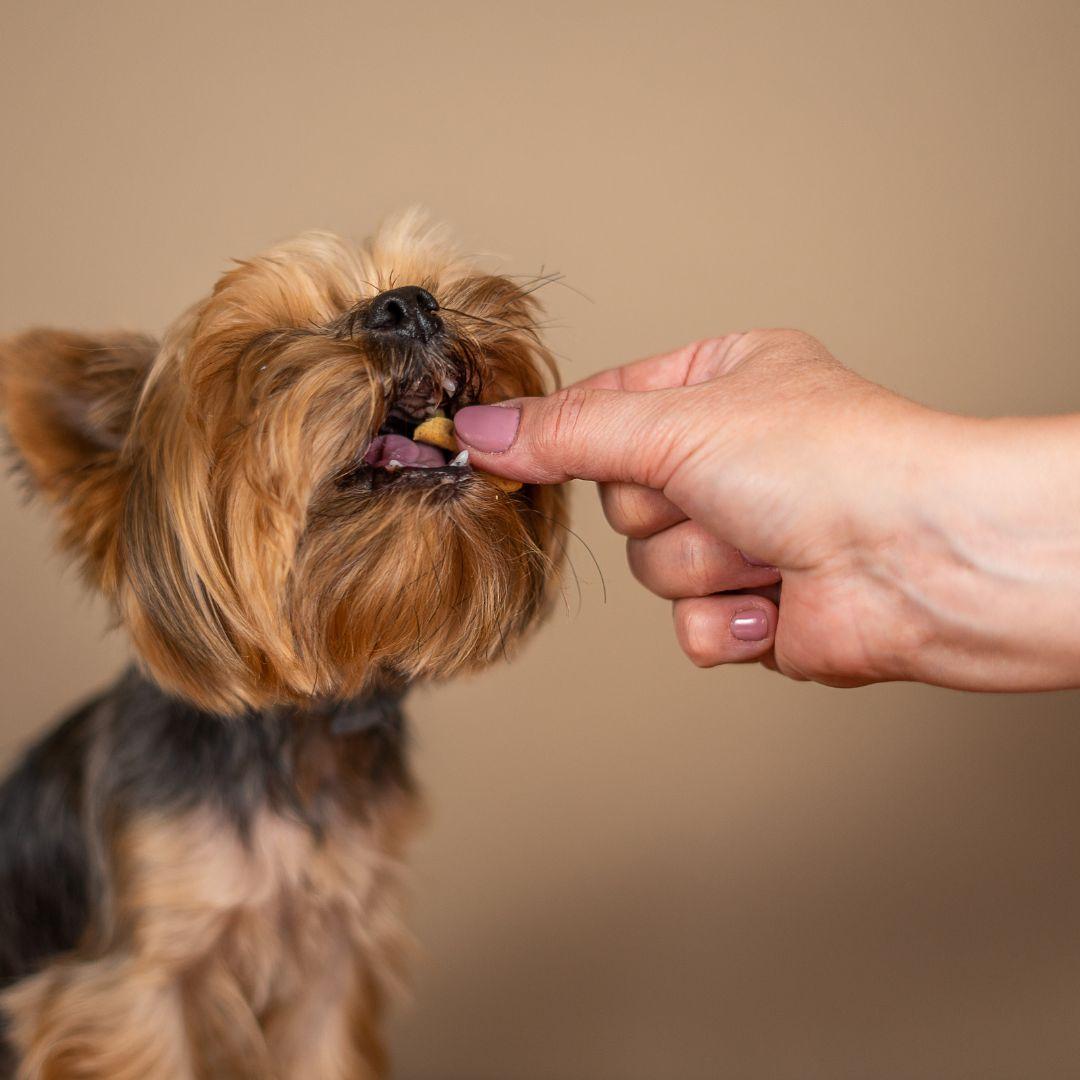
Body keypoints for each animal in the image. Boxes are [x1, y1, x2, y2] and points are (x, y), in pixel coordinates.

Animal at [0, 214, 570, 1075]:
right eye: (265, 356)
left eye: (426, 286)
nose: (408, 304)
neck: (299, 732)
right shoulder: (133, 985)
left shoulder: (331, 960)